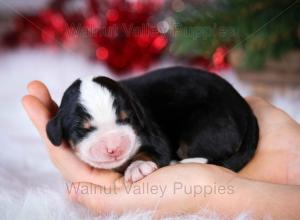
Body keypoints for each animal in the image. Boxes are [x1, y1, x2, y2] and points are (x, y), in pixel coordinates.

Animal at [22, 81, 300, 218]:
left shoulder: (153, 133)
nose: (113, 149)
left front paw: (138, 166)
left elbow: (153, 152)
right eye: (83, 129)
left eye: (127, 119)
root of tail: (246, 111)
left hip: (207, 123)